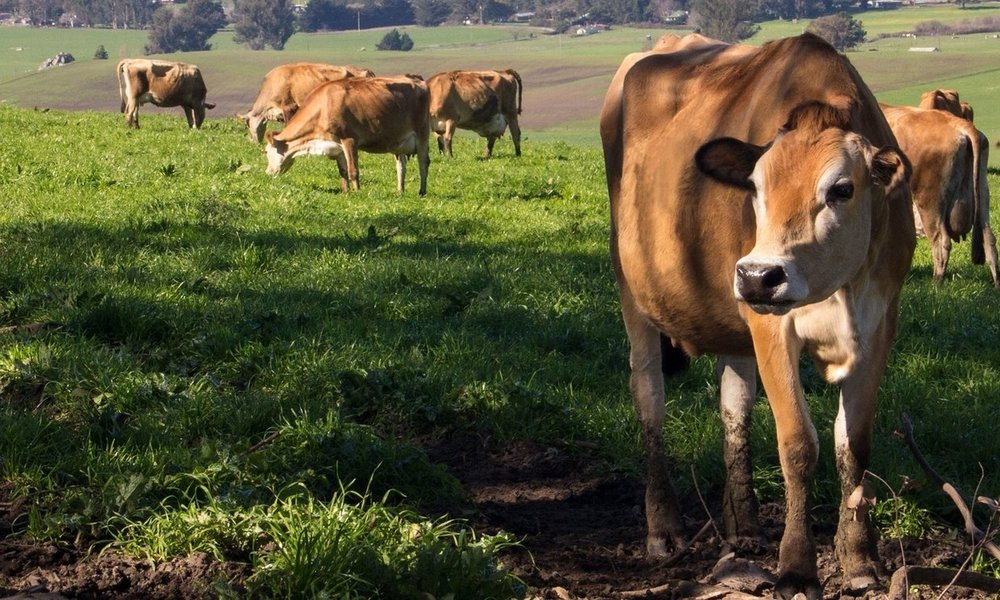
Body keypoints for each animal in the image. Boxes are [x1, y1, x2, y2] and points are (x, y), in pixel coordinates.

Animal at [262, 72, 430, 195]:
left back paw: (422, 192)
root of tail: (416, 79)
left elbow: (353, 170)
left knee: (423, 162)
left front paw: (357, 193)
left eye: (266, 152)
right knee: (401, 166)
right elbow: (343, 171)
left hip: (422, 133)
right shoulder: (337, 146)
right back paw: (400, 191)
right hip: (399, 142)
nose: (267, 173)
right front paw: (346, 192)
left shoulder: (349, 139)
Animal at [600, 34, 916, 600]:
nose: (756, 276)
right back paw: (664, 528)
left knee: (735, 405)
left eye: (841, 189)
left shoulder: (881, 320)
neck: (838, 291)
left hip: (735, 329)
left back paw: (743, 527)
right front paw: (796, 568)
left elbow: (854, 444)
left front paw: (859, 559)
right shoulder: (771, 326)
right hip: (634, 293)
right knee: (649, 397)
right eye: (755, 187)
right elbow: (798, 444)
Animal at [880, 103, 996, 288]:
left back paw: (935, 283)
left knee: (941, 241)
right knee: (989, 239)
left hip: (929, 200)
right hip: (982, 193)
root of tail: (957, 122)